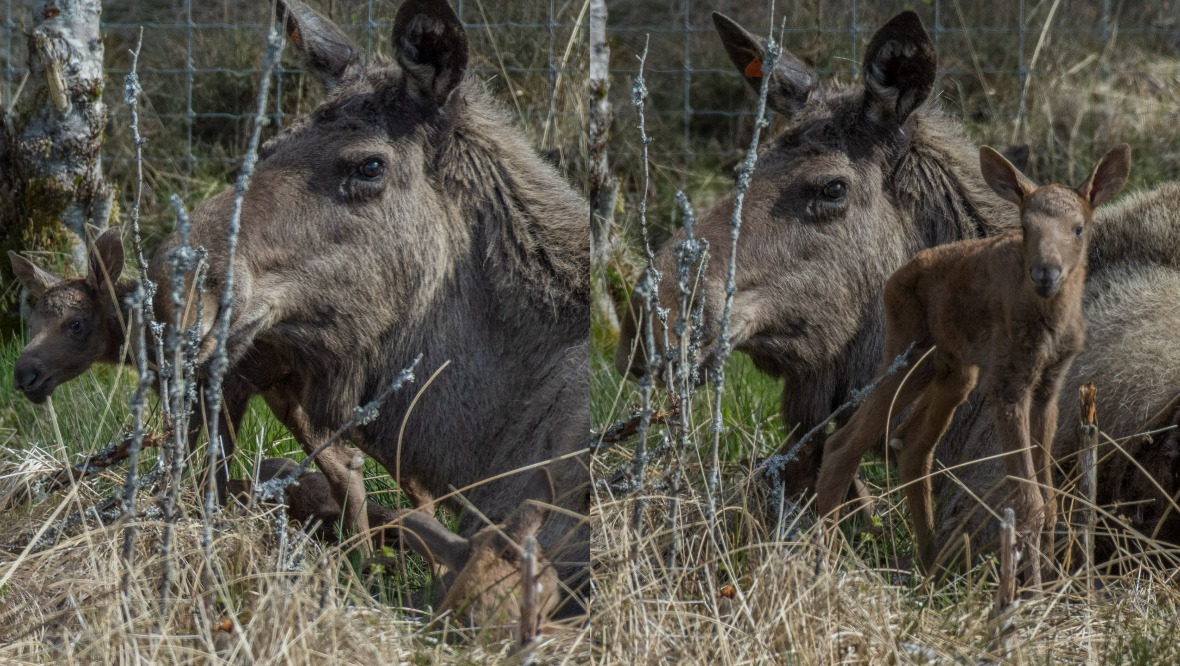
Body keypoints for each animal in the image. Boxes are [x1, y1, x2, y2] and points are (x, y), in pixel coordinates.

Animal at [816, 142, 1128, 585]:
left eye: (1078, 228)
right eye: (1026, 227)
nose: (1045, 272)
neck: (1050, 321)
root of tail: (893, 280)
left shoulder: (1048, 388)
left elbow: (1050, 500)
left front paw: (1052, 578)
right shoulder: (1006, 385)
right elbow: (1029, 501)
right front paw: (1031, 589)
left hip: (952, 371)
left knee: (911, 444)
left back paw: (929, 563)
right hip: (908, 354)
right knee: (844, 441)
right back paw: (827, 559)